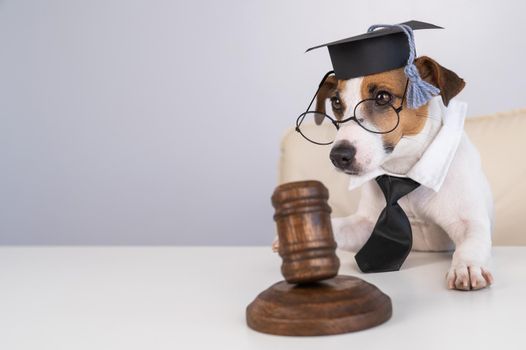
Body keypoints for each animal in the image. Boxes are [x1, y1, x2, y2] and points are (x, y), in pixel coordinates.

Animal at [274, 56, 498, 290]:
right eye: (336, 102)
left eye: (382, 96)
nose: (338, 156)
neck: (402, 171)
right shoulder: (365, 225)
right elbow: (339, 227)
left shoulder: (468, 222)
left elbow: (472, 242)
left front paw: (468, 266)